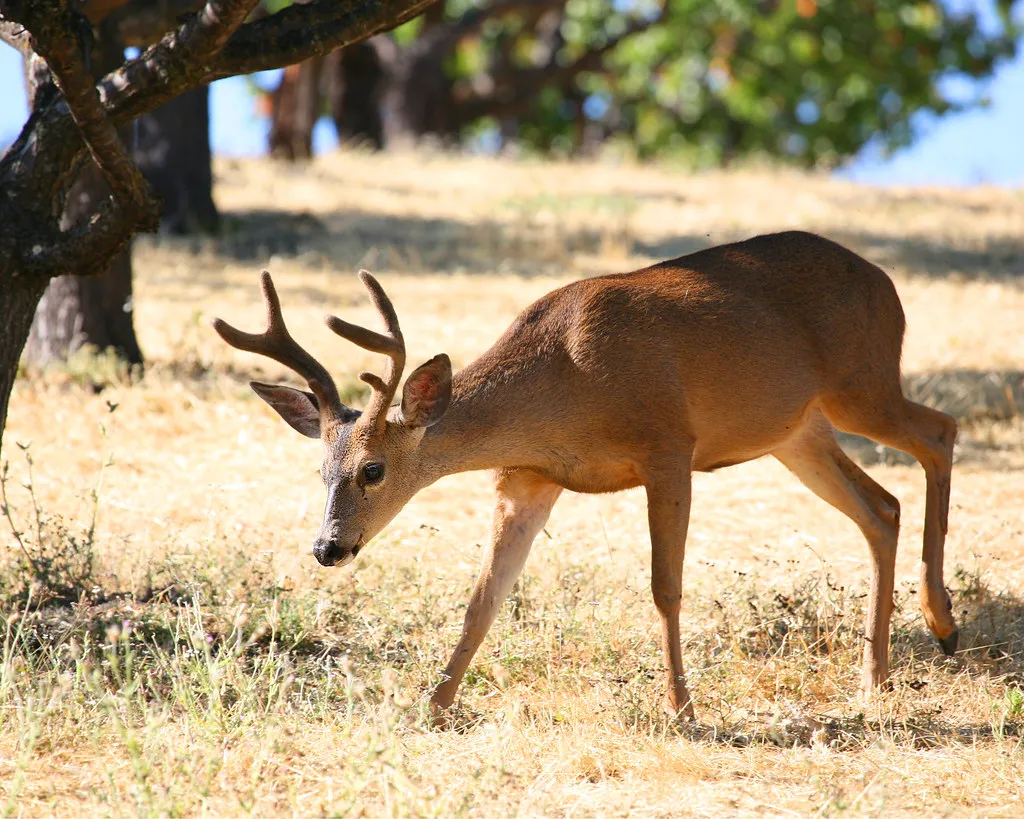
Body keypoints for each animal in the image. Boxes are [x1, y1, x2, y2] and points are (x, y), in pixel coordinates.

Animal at [212, 230, 958, 720]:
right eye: (321, 470)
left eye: (373, 468)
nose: (327, 547)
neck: (565, 380)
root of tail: (884, 280)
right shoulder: (527, 479)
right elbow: (483, 598)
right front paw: (433, 704)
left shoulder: (668, 444)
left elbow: (665, 586)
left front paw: (682, 709)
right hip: (795, 430)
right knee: (881, 505)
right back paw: (876, 674)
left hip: (861, 380)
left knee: (940, 432)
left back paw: (942, 620)